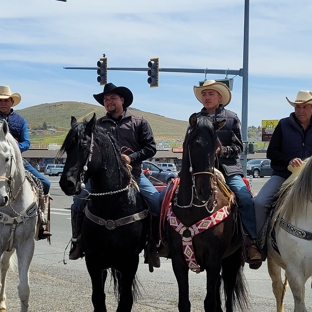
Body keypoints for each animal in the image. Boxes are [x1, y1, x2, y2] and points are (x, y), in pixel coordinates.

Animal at [60, 114, 151, 312]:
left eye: (84, 146)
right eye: (67, 148)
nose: (66, 184)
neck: (113, 206)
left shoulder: (129, 262)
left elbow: (125, 299)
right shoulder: (93, 261)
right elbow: (98, 298)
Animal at [162, 114, 250, 312]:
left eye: (216, 146)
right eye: (195, 144)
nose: (205, 191)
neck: (193, 209)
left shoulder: (214, 259)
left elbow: (210, 303)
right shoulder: (178, 261)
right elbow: (184, 303)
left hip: (232, 259)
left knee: (228, 291)